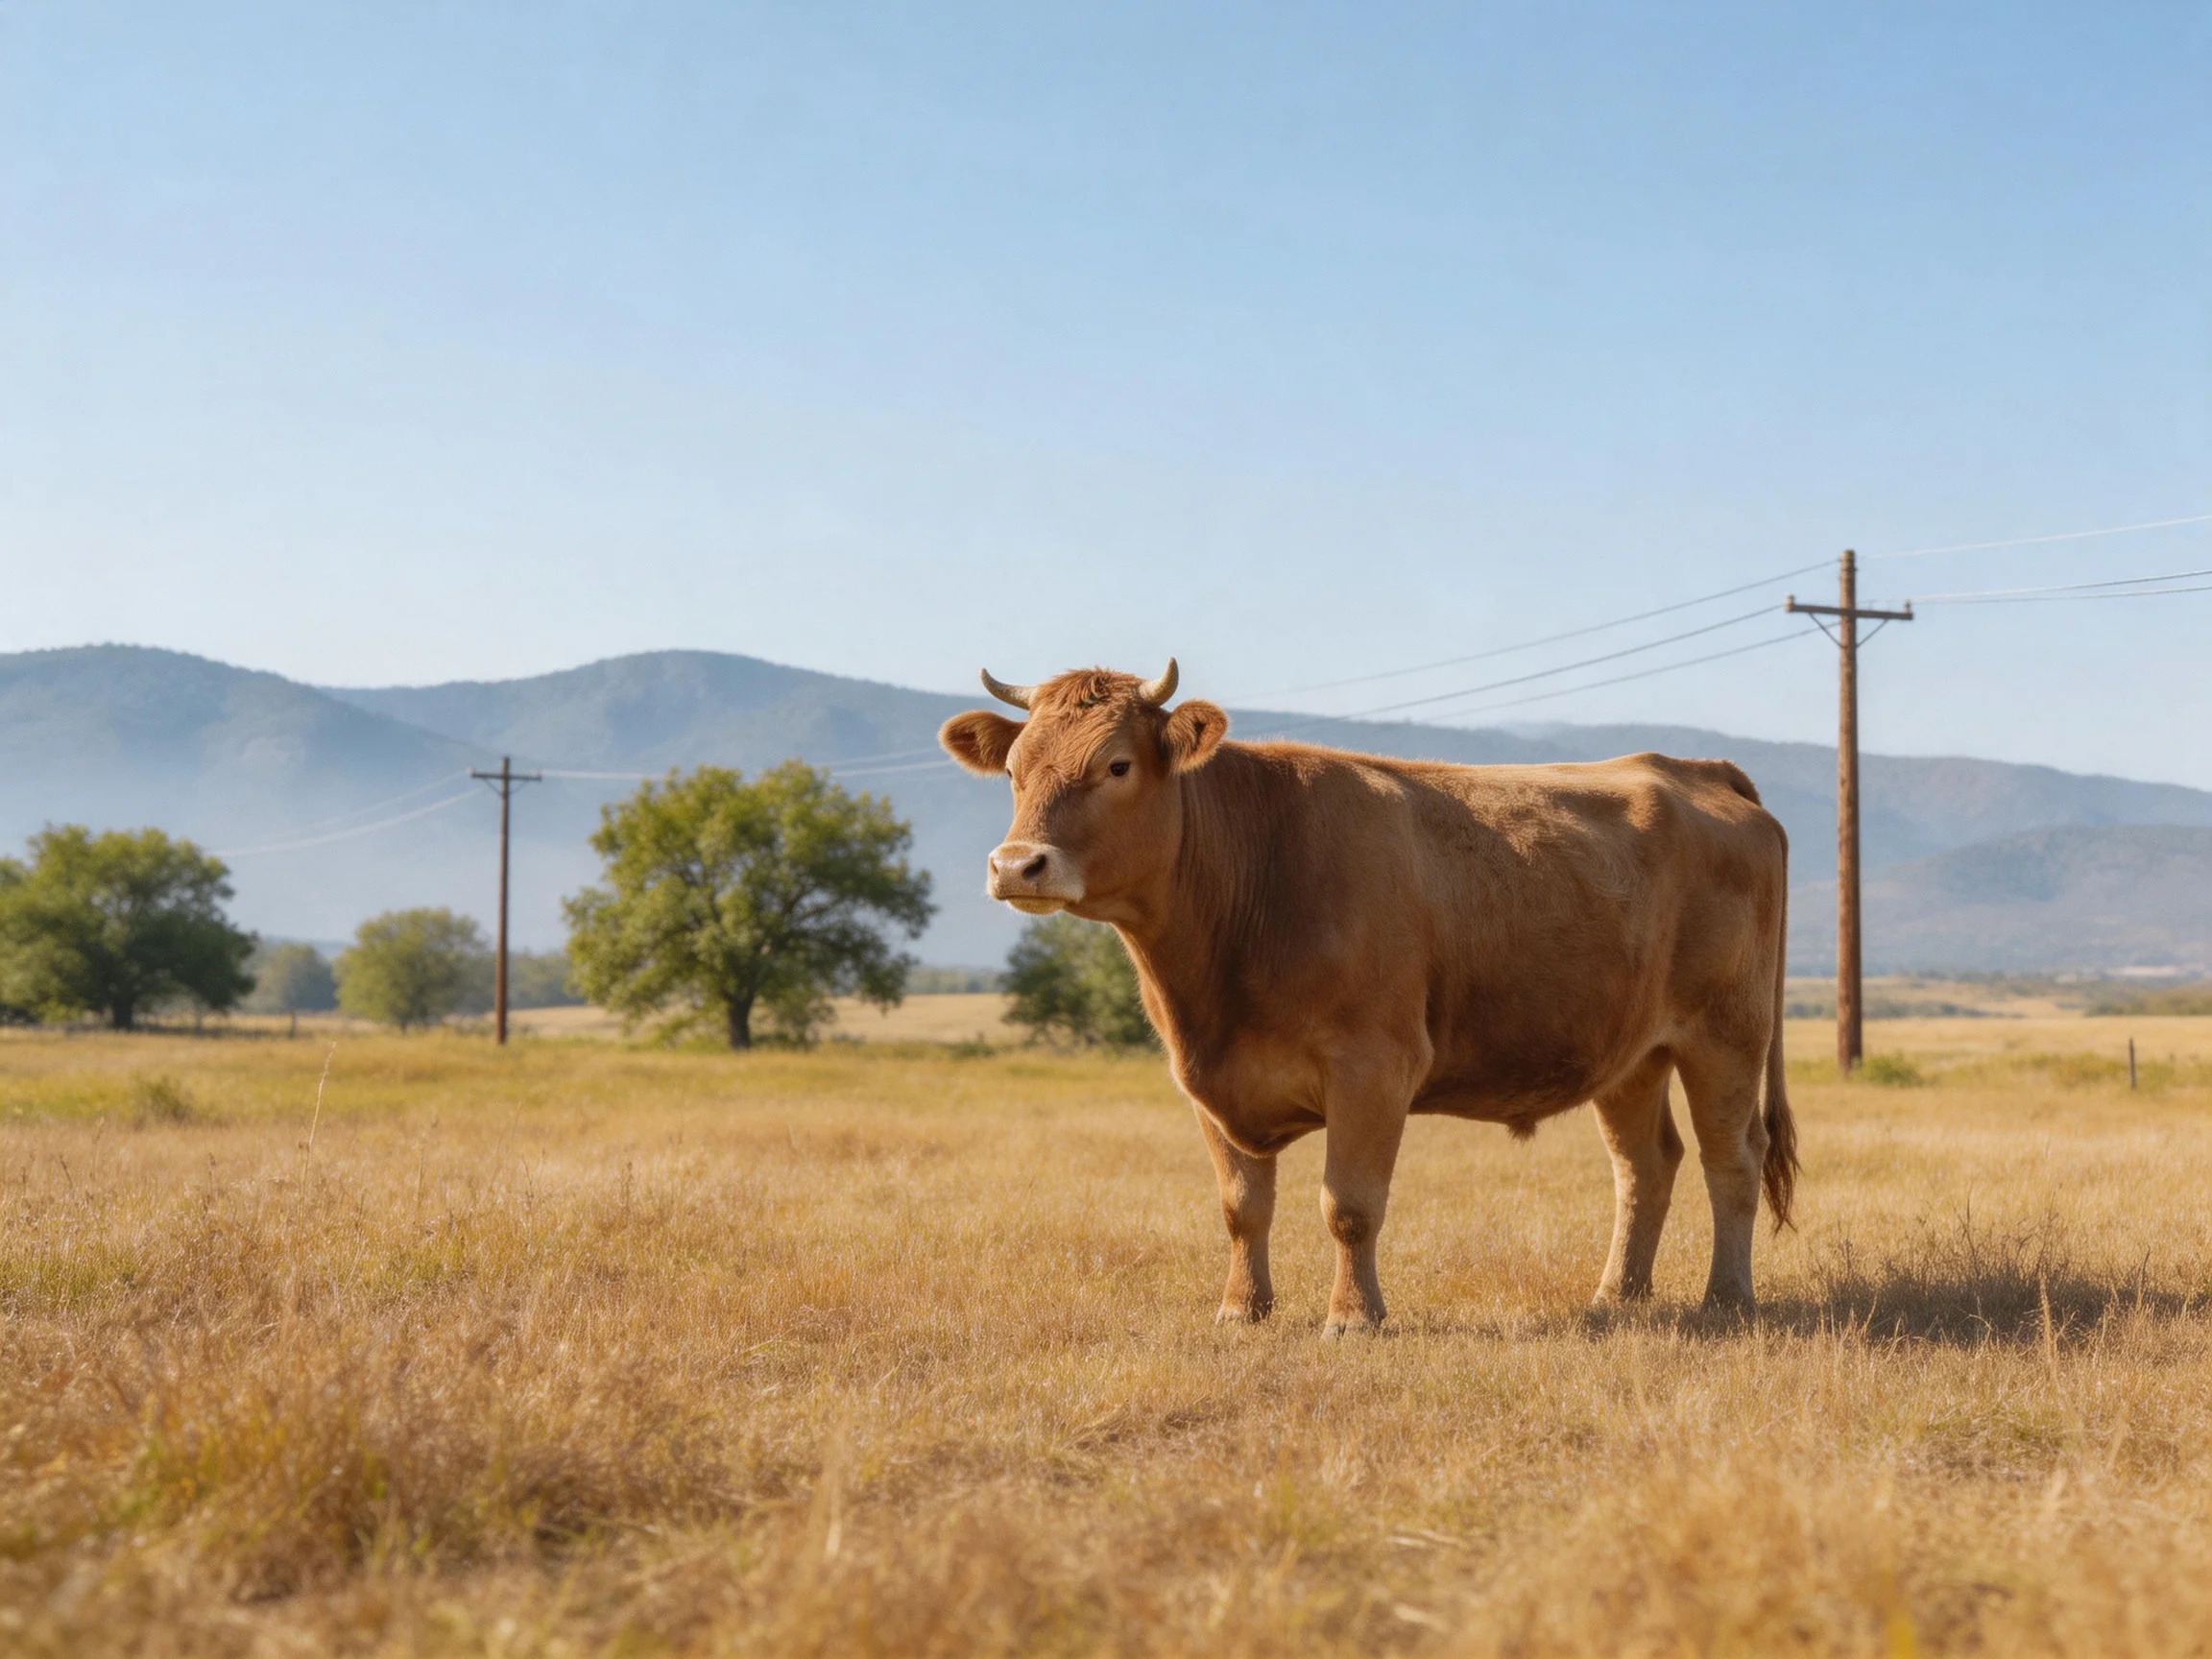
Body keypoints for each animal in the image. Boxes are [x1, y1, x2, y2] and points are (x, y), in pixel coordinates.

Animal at [940, 660, 1797, 1333]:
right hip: (1631, 1053)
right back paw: (1616, 1298)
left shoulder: (1374, 1066)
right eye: (1014, 771)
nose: (1017, 865)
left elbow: (1349, 1204)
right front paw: (1241, 1310)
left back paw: (1726, 1299)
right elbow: (1241, 1206)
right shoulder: (1203, 1081)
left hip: (1726, 1033)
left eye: (1116, 765)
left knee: (1732, 1157)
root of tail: (1693, 767)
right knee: (1645, 1165)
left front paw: (1354, 1317)